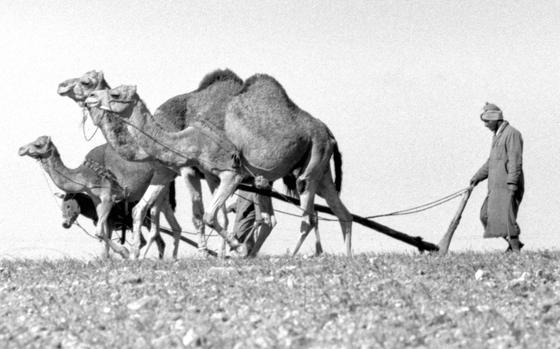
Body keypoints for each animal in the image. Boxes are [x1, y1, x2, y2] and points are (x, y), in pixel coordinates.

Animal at [18, 137, 182, 260]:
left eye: (38, 144)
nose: (20, 149)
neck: (84, 176)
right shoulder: (96, 199)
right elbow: (102, 231)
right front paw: (109, 257)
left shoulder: (108, 196)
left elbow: (99, 232)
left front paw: (124, 252)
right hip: (164, 189)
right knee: (173, 225)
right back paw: (172, 258)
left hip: (160, 179)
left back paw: (139, 255)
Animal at [85, 74, 352, 256]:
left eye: (115, 94)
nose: (90, 98)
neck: (191, 138)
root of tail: (327, 131)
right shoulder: (209, 173)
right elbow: (212, 215)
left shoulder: (230, 173)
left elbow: (209, 214)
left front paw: (234, 249)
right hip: (318, 168)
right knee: (340, 213)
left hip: (311, 161)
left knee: (308, 215)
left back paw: (289, 255)